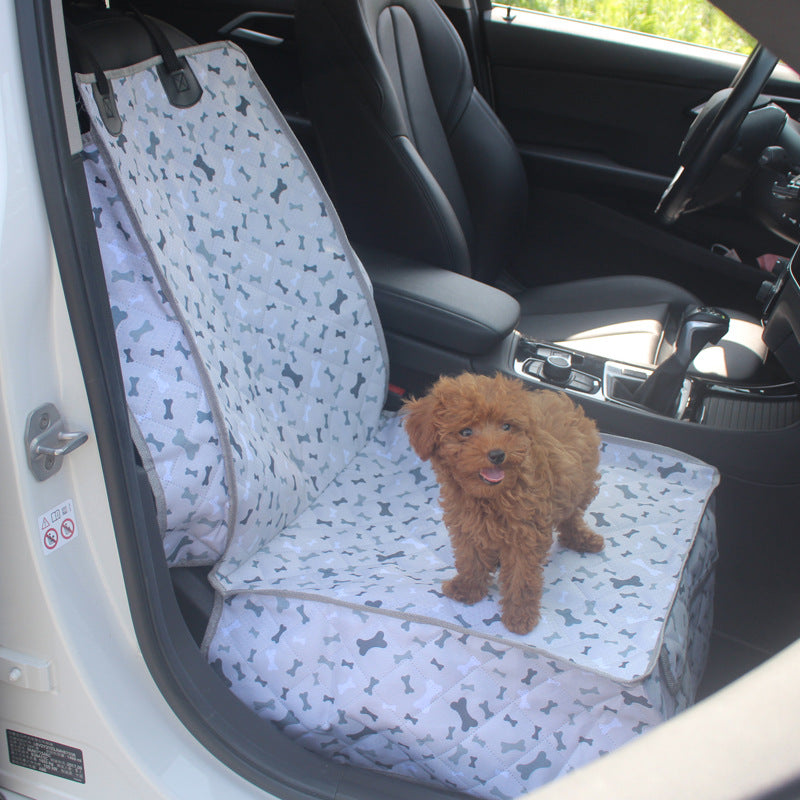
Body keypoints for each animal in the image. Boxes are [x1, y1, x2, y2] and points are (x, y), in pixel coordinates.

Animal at [406, 372, 600, 636]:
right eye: (465, 432)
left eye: (506, 427)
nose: (497, 454)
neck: (490, 496)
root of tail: (560, 398)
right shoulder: (467, 526)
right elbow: (470, 559)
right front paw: (467, 588)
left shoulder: (526, 536)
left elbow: (521, 577)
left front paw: (519, 616)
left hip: (581, 484)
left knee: (572, 516)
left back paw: (582, 539)